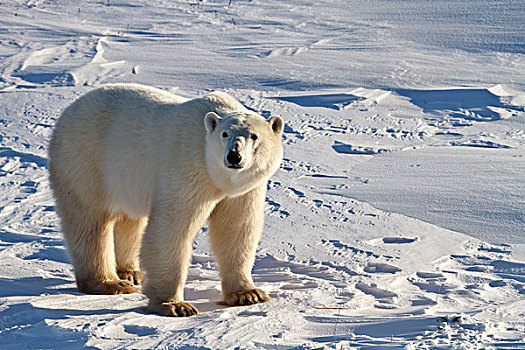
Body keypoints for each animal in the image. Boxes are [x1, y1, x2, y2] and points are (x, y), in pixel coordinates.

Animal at [48, 84, 284, 318]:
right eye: (225, 134)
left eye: (254, 136)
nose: (234, 156)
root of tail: (69, 111)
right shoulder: (188, 167)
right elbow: (173, 227)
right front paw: (175, 305)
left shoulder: (245, 190)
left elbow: (236, 228)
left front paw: (248, 294)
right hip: (86, 160)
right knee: (90, 222)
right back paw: (109, 282)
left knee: (129, 220)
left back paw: (130, 272)